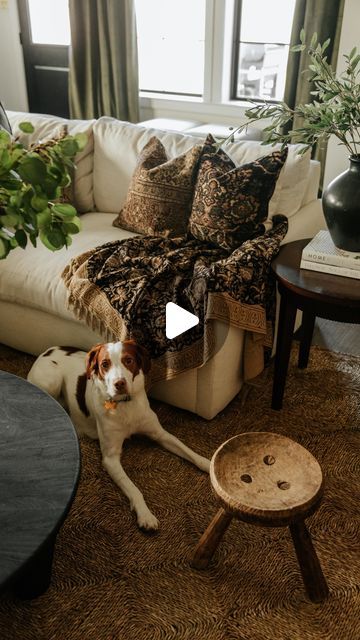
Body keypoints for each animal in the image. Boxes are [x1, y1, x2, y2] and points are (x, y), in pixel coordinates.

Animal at [28, 340, 210, 528]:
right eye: (104, 364)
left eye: (128, 360)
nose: (119, 384)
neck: (125, 405)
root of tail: (48, 350)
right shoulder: (111, 459)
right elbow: (134, 489)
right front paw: (146, 515)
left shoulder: (160, 434)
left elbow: (191, 453)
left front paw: (210, 465)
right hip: (52, 381)